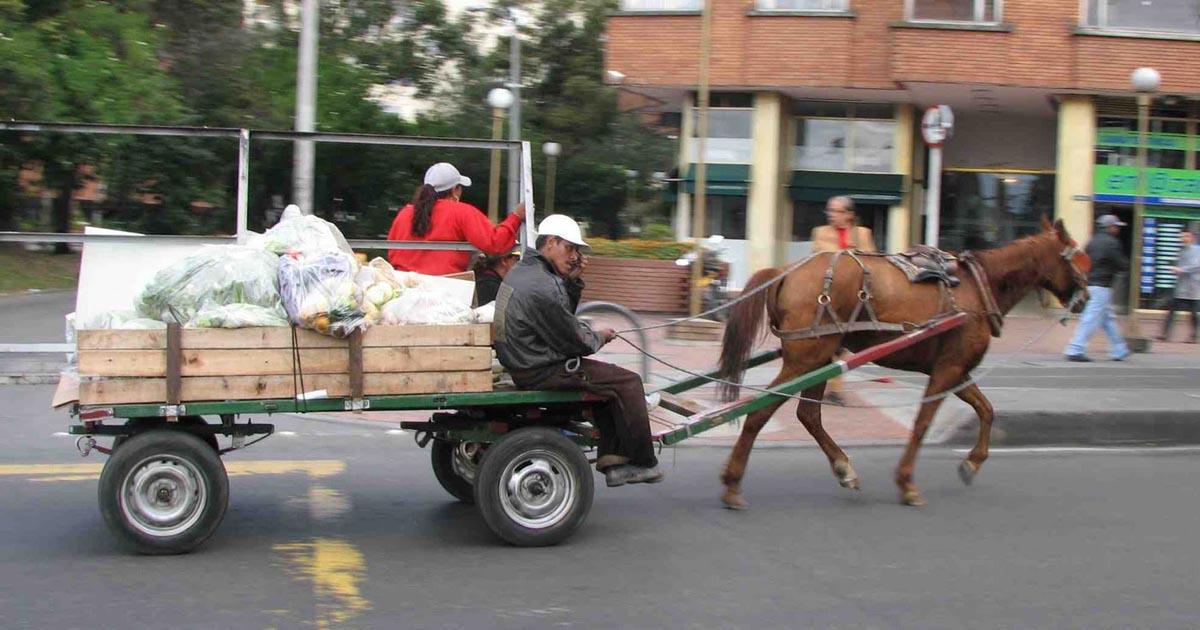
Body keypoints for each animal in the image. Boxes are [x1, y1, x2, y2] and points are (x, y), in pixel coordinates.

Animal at [715, 216, 1094, 506]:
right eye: (1076, 258)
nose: (1086, 298)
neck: (978, 287)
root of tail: (785, 271)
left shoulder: (956, 369)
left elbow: (986, 411)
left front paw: (971, 463)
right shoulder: (948, 370)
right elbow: (923, 423)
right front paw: (907, 483)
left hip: (820, 358)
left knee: (808, 415)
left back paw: (843, 468)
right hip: (806, 358)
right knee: (760, 412)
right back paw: (733, 483)